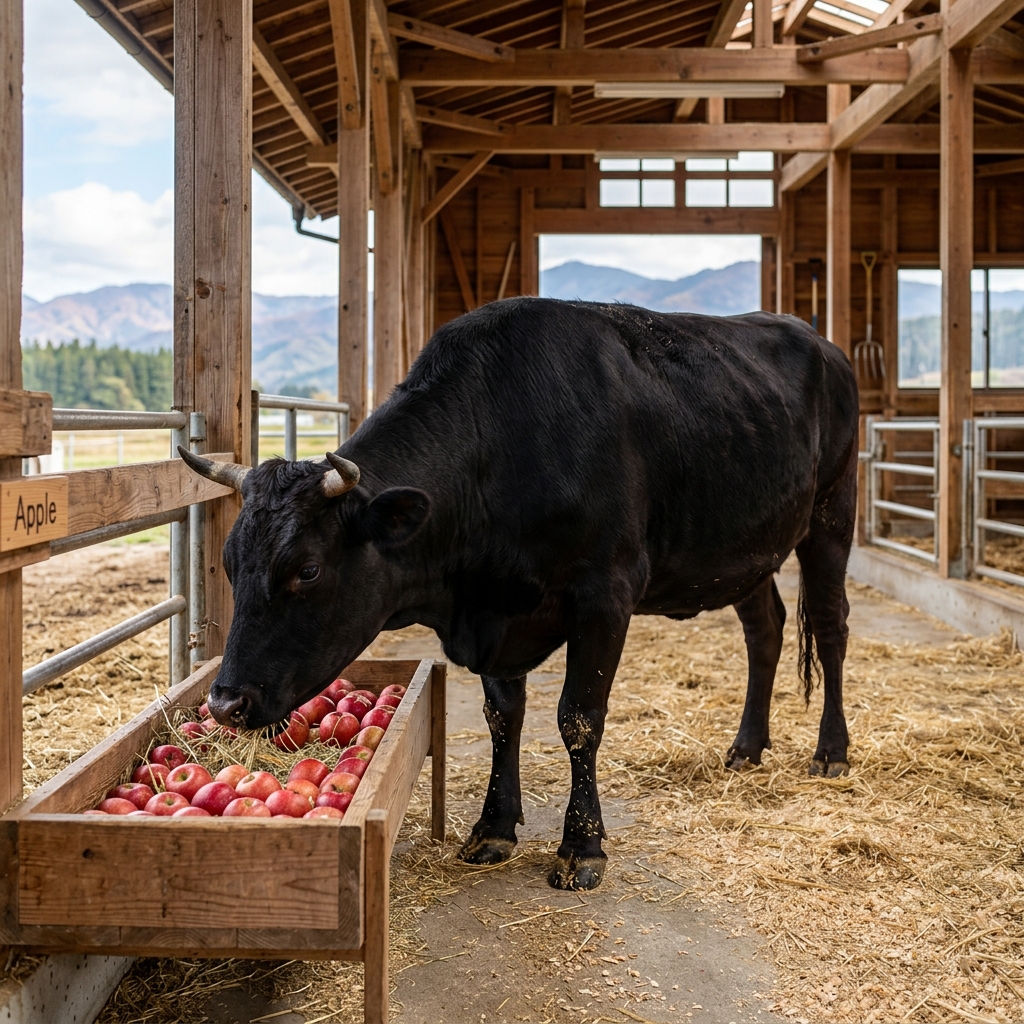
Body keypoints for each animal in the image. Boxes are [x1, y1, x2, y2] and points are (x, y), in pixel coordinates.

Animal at [181, 298, 859, 891]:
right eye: (229, 563)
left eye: (308, 569)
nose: (224, 703)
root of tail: (819, 339)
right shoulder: (497, 614)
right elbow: (504, 717)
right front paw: (493, 827)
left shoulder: (605, 593)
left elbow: (579, 719)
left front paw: (582, 847)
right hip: (747, 551)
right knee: (765, 629)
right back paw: (747, 747)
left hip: (831, 513)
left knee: (830, 627)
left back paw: (831, 751)